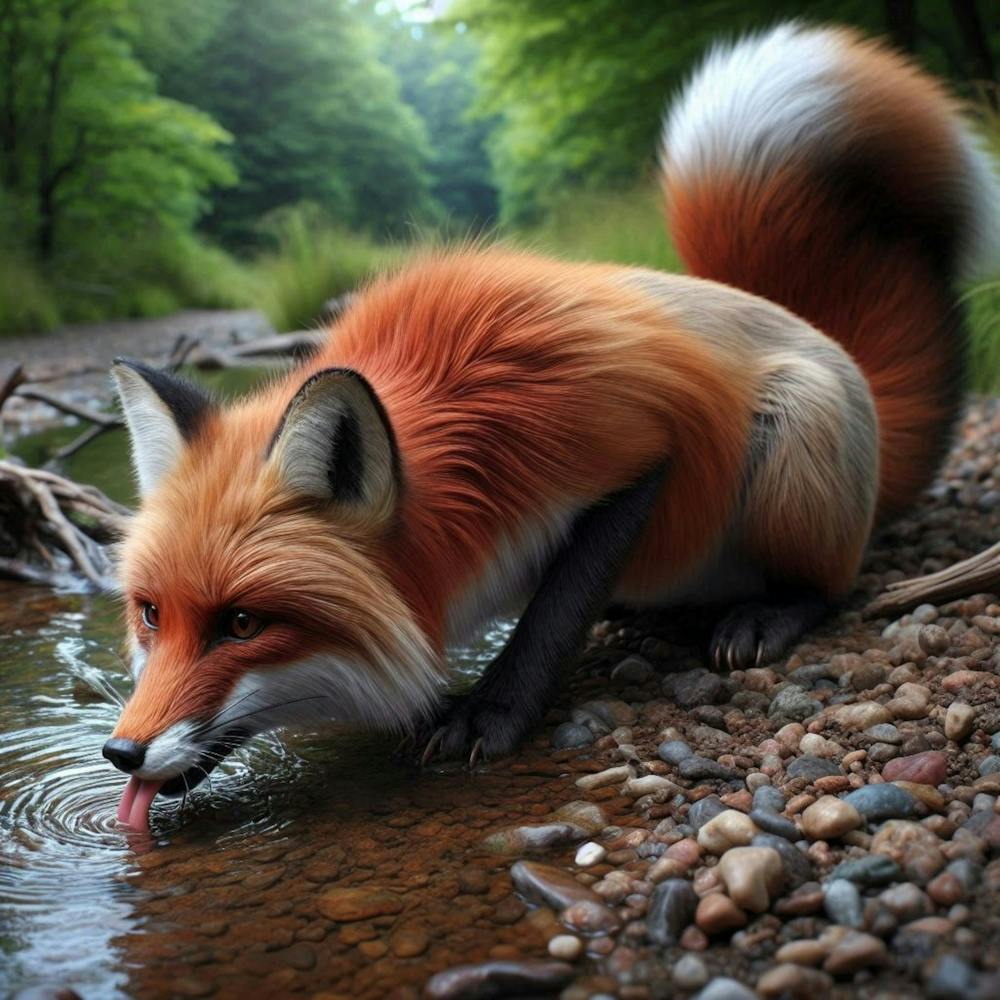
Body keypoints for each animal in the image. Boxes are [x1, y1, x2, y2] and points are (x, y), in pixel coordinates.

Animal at [103, 23, 999, 831]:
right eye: (151, 614)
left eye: (242, 623)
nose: (120, 752)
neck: (468, 423)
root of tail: (840, 355)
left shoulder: (629, 448)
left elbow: (551, 612)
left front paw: (492, 710)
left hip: (794, 443)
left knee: (831, 583)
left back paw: (769, 613)